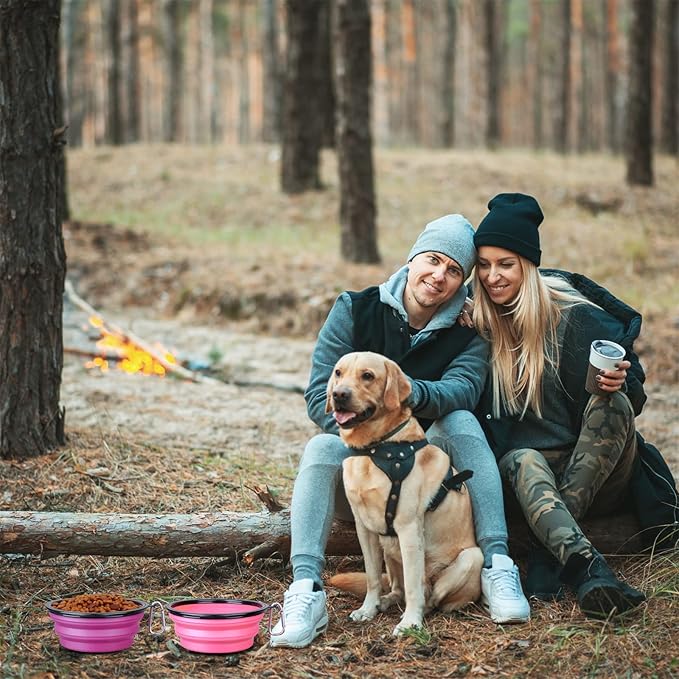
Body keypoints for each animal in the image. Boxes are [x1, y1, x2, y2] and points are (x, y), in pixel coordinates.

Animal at [328, 354, 484, 636]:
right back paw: (385, 601)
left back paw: (421, 608)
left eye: (367, 375)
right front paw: (367, 608)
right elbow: (372, 577)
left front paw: (410, 622)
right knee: (397, 587)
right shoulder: (364, 528)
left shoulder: (408, 528)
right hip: (389, 551)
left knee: (430, 593)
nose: (339, 394)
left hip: (471, 557)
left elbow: (413, 587)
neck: (376, 450)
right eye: (338, 373)